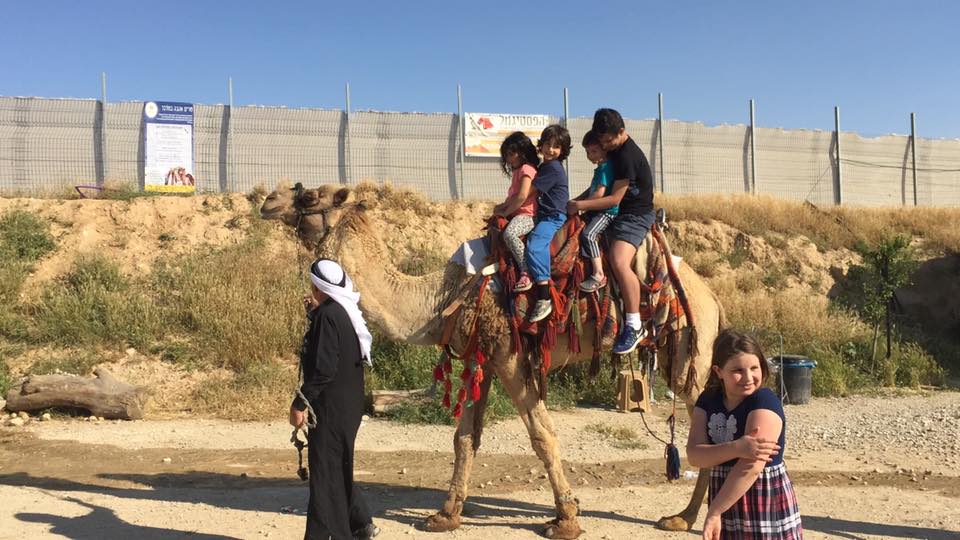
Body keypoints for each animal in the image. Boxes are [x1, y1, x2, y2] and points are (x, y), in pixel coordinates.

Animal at [260, 183, 725, 538]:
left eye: (308, 196)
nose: (268, 200)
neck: (441, 297)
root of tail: (713, 298)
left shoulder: (509, 355)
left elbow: (542, 436)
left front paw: (566, 520)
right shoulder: (479, 354)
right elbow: (465, 437)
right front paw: (445, 515)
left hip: (688, 350)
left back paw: (683, 518)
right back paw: (684, 517)